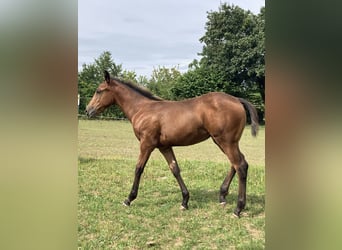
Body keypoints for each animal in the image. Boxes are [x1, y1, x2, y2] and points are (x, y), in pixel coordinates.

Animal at [86, 70, 260, 217]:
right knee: (237, 163)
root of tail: (237, 99)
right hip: (225, 141)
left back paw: (238, 208)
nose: (88, 110)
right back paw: (223, 196)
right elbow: (175, 169)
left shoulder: (146, 144)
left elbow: (138, 168)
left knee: (240, 165)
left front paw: (129, 199)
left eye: (99, 90)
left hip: (225, 141)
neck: (142, 109)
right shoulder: (164, 146)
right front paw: (185, 201)